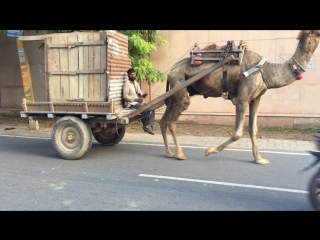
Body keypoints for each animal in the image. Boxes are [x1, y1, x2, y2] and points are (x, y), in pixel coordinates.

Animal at [161, 30, 320, 164]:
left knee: (164, 120)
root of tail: (170, 71)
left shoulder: (256, 98)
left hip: (175, 92)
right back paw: (179, 154)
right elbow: (238, 133)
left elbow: (253, 128)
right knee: (173, 119)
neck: (267, 71)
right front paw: (210, 150)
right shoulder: (242, 99)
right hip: (180, 84)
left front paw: (259, 159)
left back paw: (169, 153)